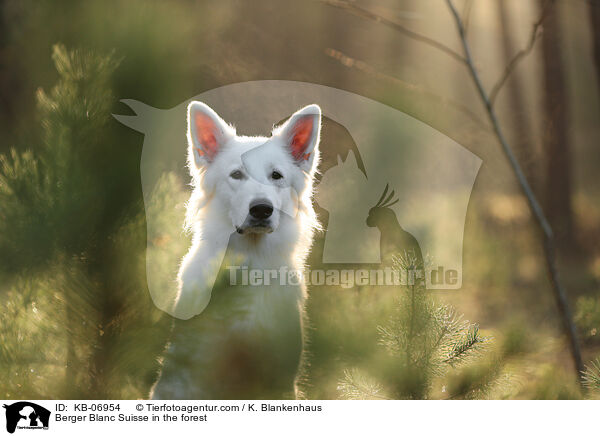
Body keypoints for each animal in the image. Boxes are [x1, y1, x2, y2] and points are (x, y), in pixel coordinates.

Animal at [152, 101, 324, 398]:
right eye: (236, 175)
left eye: (276, 176)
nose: (261, 209)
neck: (248, 265)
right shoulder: (190, 372)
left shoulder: (279, 380)